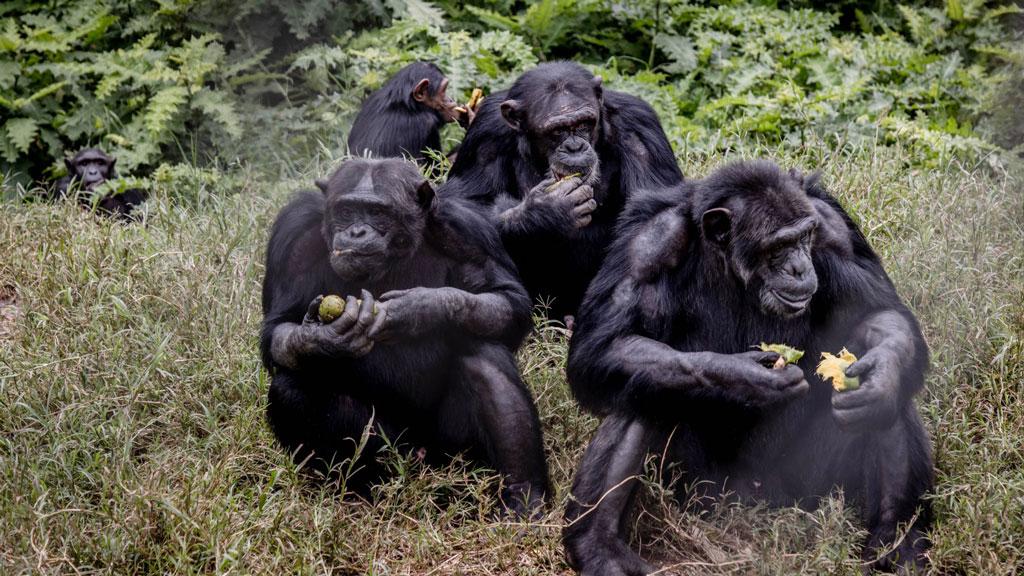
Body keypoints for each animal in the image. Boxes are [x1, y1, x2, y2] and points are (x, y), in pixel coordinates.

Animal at [262, 155, 552, 510]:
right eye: (346, 210)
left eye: (377, 213)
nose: (356, 231)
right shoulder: (294, 235)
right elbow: (278, 326)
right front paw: (324, 338)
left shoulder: (469, 228)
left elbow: (508, 299)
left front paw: (419, 309)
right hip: (396, 452)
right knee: (291, 389)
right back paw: (353, 496)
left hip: (455, 458)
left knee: (484, 354)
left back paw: (524, 497)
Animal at [444, 62, 684, 323]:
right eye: (557, 131)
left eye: (584, 124)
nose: (574, 147)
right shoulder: (485, 131)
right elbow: (464, 201)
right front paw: (545, 211)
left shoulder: (640, 127)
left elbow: (653, 211)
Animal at [565, 158, 933, 569]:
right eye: (779, 246)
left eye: (804, 237)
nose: (799, 267)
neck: (729, 263)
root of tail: (753, 503)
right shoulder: (648, 245)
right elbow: (604, 346)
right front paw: (747, 378)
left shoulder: (832, 227)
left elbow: (878, 311)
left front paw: (880, 382)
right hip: (699, 492)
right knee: (643, 386)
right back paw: (599, 546)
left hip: (806, 489)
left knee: (887, 399)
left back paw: (896, 544)